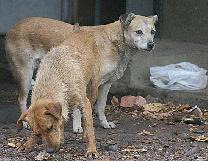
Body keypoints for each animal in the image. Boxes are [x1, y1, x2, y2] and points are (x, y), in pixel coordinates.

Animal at [16, 28, 100, 156]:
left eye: (50, 127)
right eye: (38, 133)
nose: (50, 151)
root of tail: (82, 30)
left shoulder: (84, 103)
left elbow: (90, 128)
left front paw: (91, 150)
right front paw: (28, 143)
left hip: (93, 89)